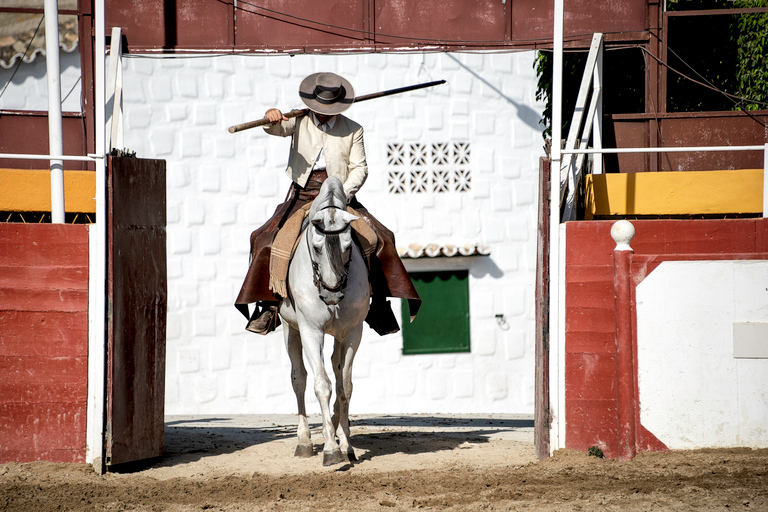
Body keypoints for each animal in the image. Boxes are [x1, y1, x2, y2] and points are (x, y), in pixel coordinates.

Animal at [276, 176, 372, 464]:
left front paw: (346, 444)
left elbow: (345, 387)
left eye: (348, 247)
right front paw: (330, 448)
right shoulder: (311, 330)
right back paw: (305, 441)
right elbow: (322, 385)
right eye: (317, 247)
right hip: (290, 329)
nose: (333, 293)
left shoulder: (352, 333)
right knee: (299, 378)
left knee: (336, 369)